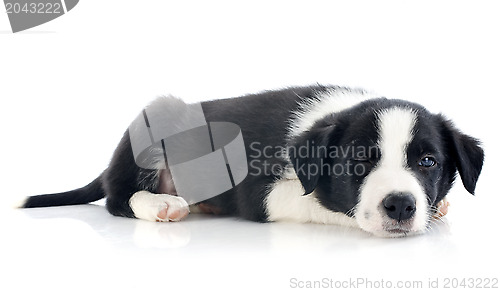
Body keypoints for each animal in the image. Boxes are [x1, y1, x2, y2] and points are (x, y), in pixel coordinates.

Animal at [20, 84, 484, 237]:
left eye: (428, 162)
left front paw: (438, 205)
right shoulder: (262, 192)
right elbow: (322, 204)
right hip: (154, 120)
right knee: (118, 197)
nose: (401, 206)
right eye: (359, 162)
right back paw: (159, 203)